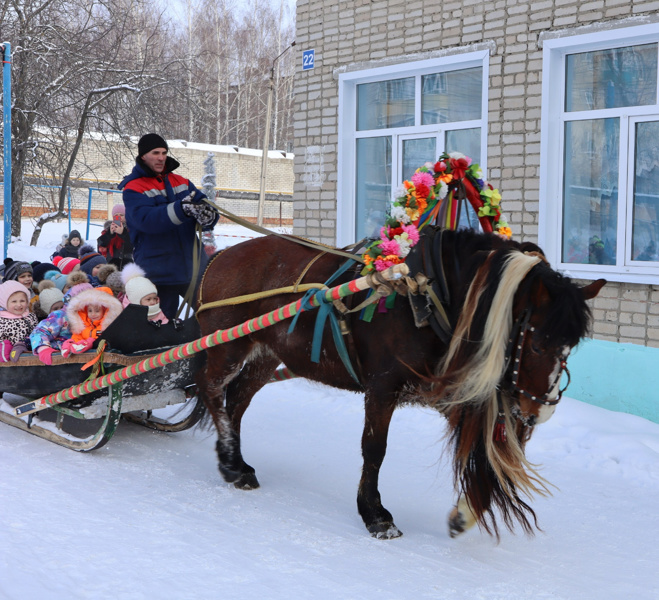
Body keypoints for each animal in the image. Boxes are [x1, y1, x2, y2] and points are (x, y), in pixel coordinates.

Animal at [193, 227, 604, 540]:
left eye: (570, 346)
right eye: (536, 343)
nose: (539, 412)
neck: (430, 295)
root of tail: (222, 256)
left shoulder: (447, 391)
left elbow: (485, 455)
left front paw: (464, 514)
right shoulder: (382, 388)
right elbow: (374, 449)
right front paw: (375, 514)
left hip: (264, 356)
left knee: (237, 401)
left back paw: (237, 462)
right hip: (228, 346)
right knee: (212, 389)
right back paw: (229, 462)